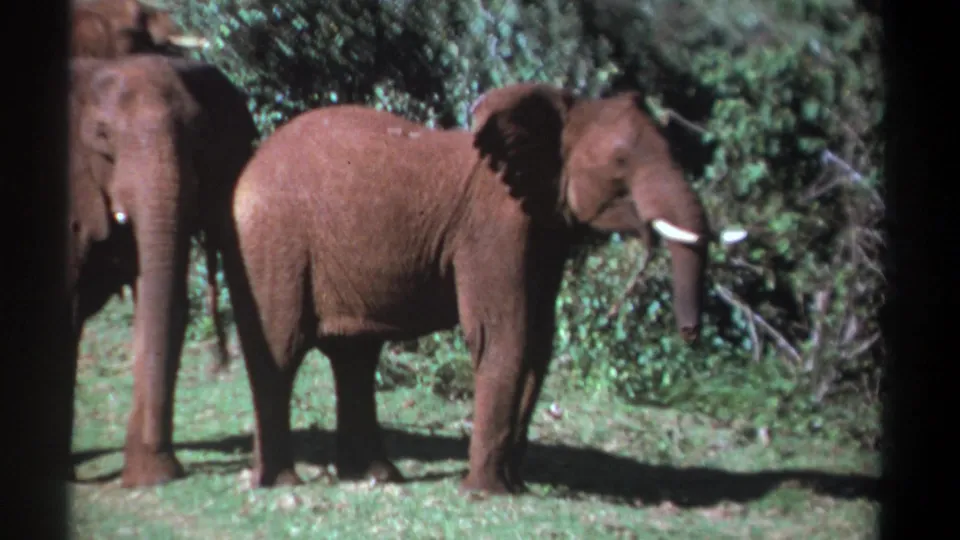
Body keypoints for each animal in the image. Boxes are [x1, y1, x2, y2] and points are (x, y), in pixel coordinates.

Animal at [219, 83, 747, 494]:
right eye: (620, 161)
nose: (690, 333)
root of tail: (249, 166)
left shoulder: (543, 229)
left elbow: (538, 343)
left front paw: (515, 487)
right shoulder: (494, 227)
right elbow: (503, 334)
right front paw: (487, 492)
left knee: (355, 357)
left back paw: (378, 476)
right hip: (271, 241)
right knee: (281, 350)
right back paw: (281, 482)